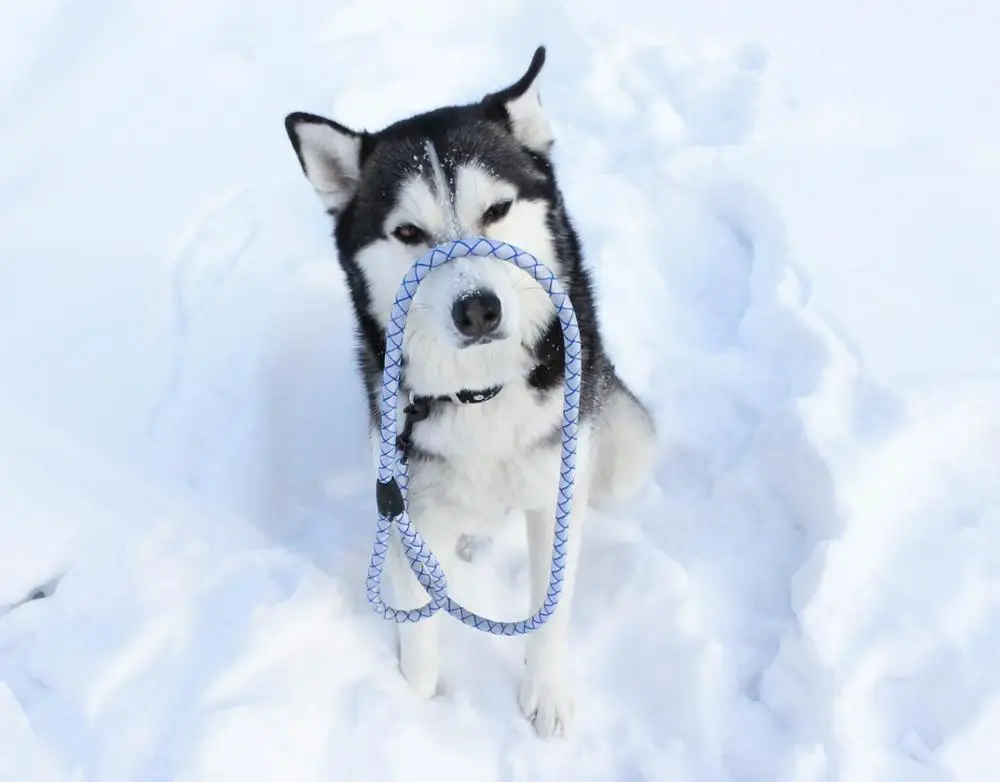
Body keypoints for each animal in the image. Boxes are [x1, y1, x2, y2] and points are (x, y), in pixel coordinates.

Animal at [284, 46, 656, 740]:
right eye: (407, 233)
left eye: (497, 211)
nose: (477, 309)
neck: (480, 392)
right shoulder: (401, 502)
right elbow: (419, 626)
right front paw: (413, 704)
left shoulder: (553, 494)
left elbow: (550, 606)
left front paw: (546, 692)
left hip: (628, 442)